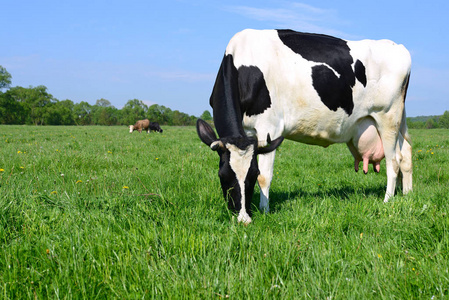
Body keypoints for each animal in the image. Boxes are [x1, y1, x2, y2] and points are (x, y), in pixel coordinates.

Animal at [195, 29, 410, 224]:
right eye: (222, 175)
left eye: (252, 175)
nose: (243, 219)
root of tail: (398, 47)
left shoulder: (269, 127)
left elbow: (266, 176)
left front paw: (264, 210)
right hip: (399, 120)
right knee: (406, 153)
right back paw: (407, 194)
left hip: (387, 118)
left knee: (393, 161)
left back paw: (387, 201)